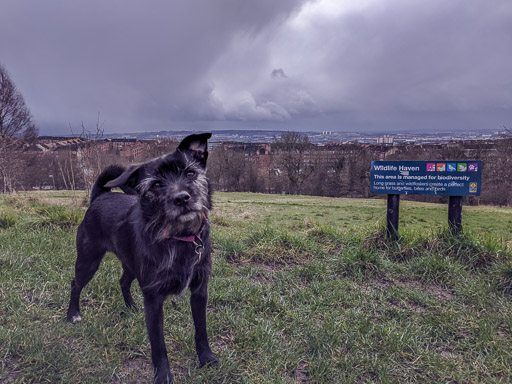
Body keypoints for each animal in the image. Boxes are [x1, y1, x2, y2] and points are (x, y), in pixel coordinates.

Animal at [66, 133, 218, 384]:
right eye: (155, 184)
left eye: (190, 173)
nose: (182, 198)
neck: (178, 237)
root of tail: (100, 197)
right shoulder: (153, 298)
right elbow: (158, 345)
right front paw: (163, 376)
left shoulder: (199, 291)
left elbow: (201, 329)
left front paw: (206, 358)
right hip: (88, 261)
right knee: (75, 284)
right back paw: (73, 314)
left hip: (130, 264)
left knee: (123, 281)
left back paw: (131, 307)